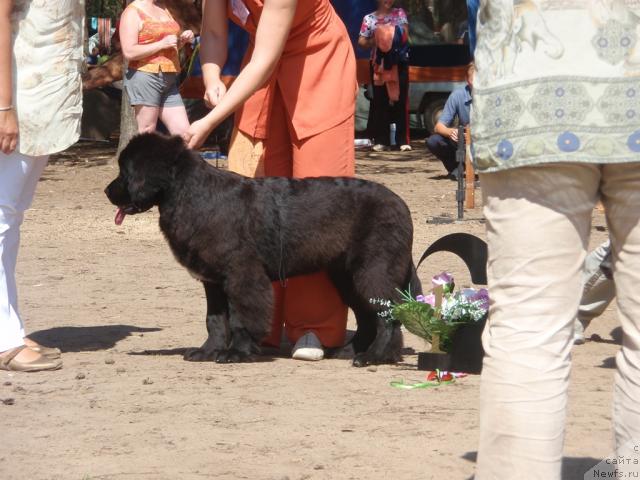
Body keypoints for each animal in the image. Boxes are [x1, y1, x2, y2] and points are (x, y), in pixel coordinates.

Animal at [106, 133, 420, 366]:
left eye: (126, 171)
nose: (108, 191)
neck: (190, 194)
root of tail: (401, 205)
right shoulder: (213, 281)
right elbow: (214, 319)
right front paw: (207, 351)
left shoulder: (242, 274)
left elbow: (243, 315)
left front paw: (236, 353)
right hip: (346, 276)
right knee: (367, 315)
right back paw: (350, 352)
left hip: (373, 270)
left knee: (388, 313)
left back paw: (376, 357)